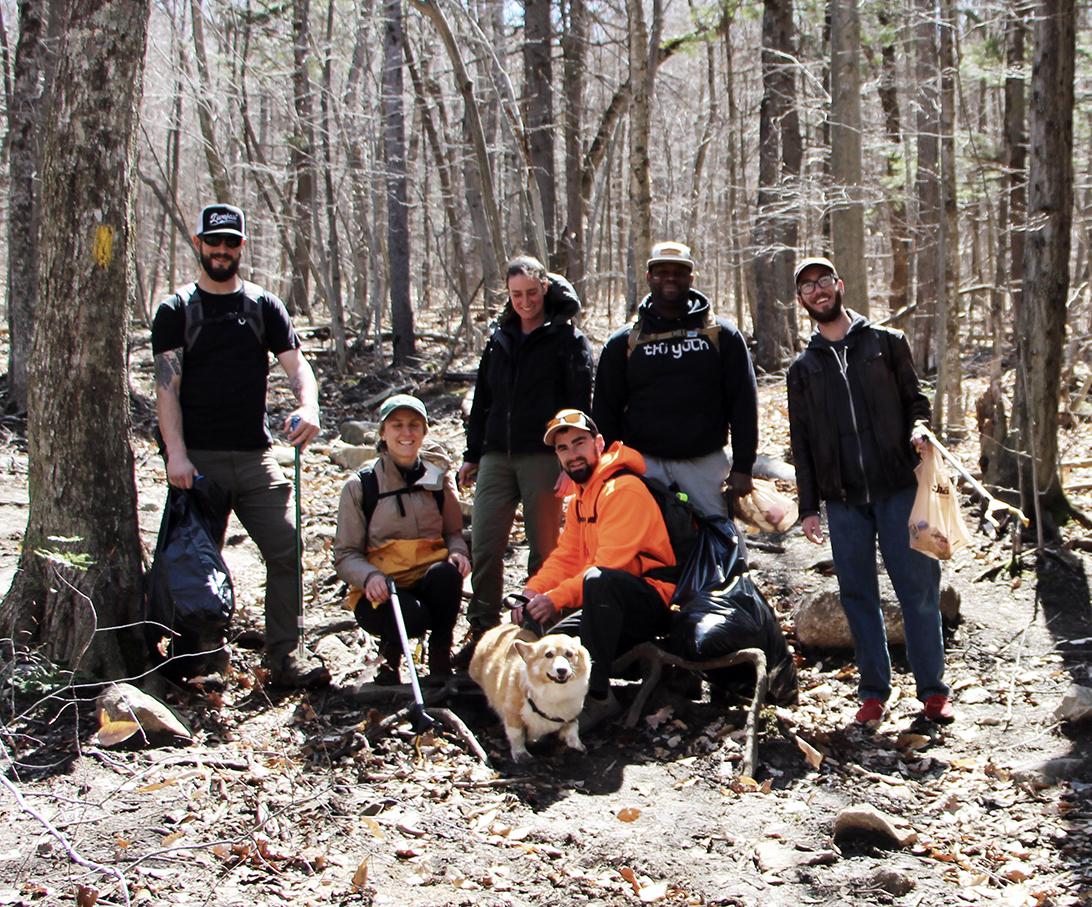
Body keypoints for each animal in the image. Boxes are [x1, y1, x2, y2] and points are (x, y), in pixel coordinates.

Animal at [469, 624, 589, 768]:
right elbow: (516, 734)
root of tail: (501, 626)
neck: (556, 693)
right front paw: (521, 754)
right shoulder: (512, 713)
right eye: (548, 654)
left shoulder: (571, 715)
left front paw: (576, 745)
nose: (562, 670)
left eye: (569, 654)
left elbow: (573, 728)